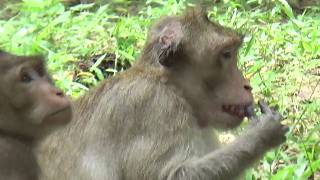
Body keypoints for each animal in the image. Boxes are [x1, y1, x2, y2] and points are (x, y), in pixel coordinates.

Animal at [37, 8, 288, 180]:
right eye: (226, 54)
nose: (247, 85)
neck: (171, 85)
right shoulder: (153, 105)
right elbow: (169, 175)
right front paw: (262, 133)